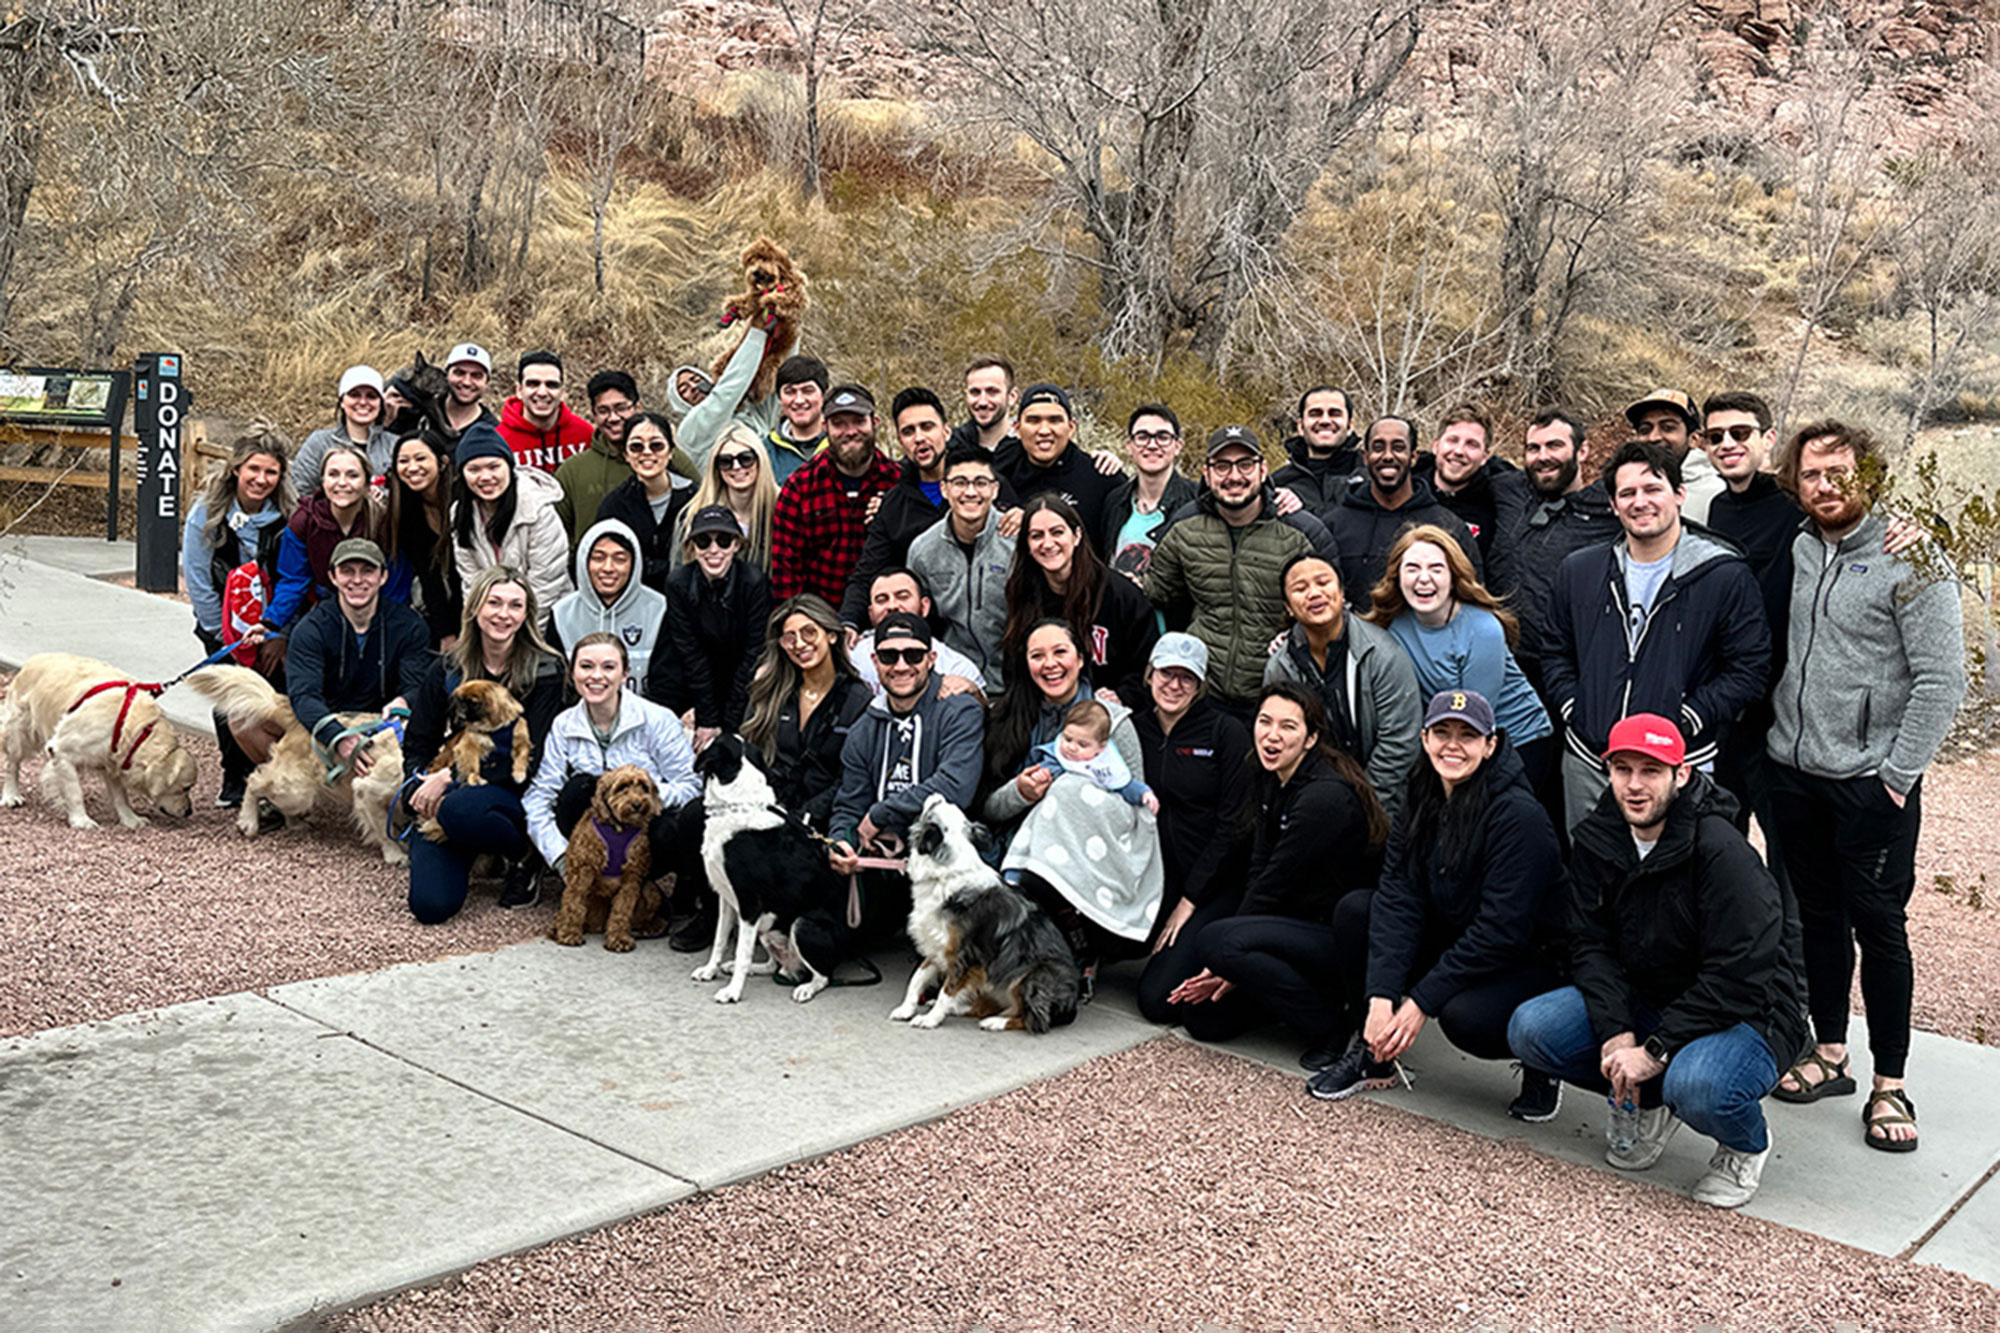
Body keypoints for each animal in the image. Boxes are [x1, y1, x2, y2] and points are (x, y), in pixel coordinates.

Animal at [0, 652, 200, 824]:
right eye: (186, 787)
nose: (189, 811)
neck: (137, 731)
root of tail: (33, 660)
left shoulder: (113, 759)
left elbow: (120, 796)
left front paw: (131, 820)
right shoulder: (61, 751)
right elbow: (74, 792)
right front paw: (81, 821)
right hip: (19, 731)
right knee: (12, 763)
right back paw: (11, 795)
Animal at [188, 660, 406, 860]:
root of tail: (297, 717)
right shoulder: (367, 788)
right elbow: (384, 830)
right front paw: (395, 854)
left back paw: (294, 823)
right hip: (295, 790)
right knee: (254, 781)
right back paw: (249, 821)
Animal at [416, 680, 532, 836]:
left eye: (472, 702)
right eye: (460, 700)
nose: (460, 707)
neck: (493, 729)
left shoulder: (521, 739)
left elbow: (522, 755)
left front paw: (519, 773)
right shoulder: (468, 746)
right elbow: (472, 764)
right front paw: (475, 778)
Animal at [556, 764, 664, 948]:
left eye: (644, 787)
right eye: (622, 787)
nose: (637, 804)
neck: (619, 827)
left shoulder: (632, 876)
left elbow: (622, 909)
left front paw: (619, 938)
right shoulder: (583, 870)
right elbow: (573, 903)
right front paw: (569, 933)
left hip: (651, 891)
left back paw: (651, 928)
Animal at [712, 235, 804, 400]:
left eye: (765, 258)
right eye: (752, 261)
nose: (755, 272)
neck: (772, 284)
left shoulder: (796, 293)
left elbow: (787, 298)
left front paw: (771, 301)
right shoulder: (756, 294)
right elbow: (750, 300)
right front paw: (733, 309)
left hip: (772, 363)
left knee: (766, 378)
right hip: (732, 353)